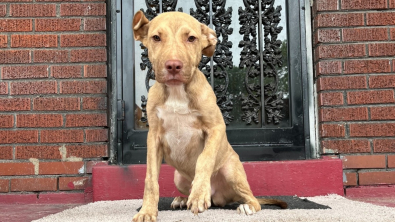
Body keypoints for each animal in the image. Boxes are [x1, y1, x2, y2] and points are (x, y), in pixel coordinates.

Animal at [133, 10, 288, 222]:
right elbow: (150, 179)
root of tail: (219, 197)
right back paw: (183, 199)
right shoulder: (154, 137)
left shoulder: (216, 127)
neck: (177, 91)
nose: (173, 66)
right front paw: (147, 211)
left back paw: (245, 206)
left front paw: (199, 194)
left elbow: (204, 159)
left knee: (253, 199)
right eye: (156, 37)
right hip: (178, 177)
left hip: (232, 171)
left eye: (191, 38)